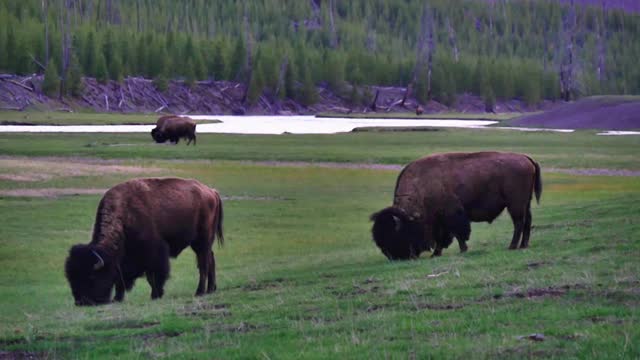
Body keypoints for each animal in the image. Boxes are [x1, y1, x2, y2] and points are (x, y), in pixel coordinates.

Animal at [64, 176, 224, 304]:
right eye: (71, 277)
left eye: (91, 277)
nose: (81, 302)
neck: (124, 217)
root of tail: (211, 191)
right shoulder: (124, 261)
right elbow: (121, 279)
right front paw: (117, 298)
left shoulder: (155, 254)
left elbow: (153, 276)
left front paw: (155, 295)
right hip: (202, 243)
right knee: (211, 259)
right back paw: (211, 289)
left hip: (202, 240)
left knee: (203, 264)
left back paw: (199, 292)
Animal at [370, 151, 540, 258]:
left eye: (395, 234)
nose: (393, 257)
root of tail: (526, 158)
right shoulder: (439, 220)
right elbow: (444, 237)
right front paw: (436, 254)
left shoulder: (451, 215)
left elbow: (458, 234)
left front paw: (462, 250)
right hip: (526, 203)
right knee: (527, 222)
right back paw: (523, 245)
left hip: (515, 204)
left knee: (519, 223)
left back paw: (512, 246)